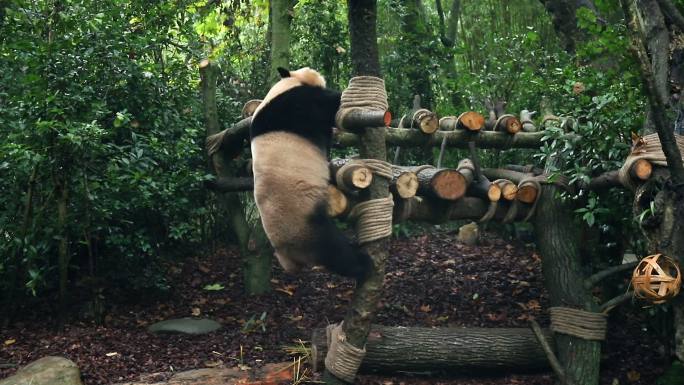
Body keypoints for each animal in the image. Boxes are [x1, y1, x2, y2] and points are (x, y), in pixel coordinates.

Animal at [250, 67, 372, 280]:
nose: (319, 75)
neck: (284, 86)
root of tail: (287, 256)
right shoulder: (296, 105)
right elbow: (328, 104)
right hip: (306, 224)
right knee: (334, 251)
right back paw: (363, 265)